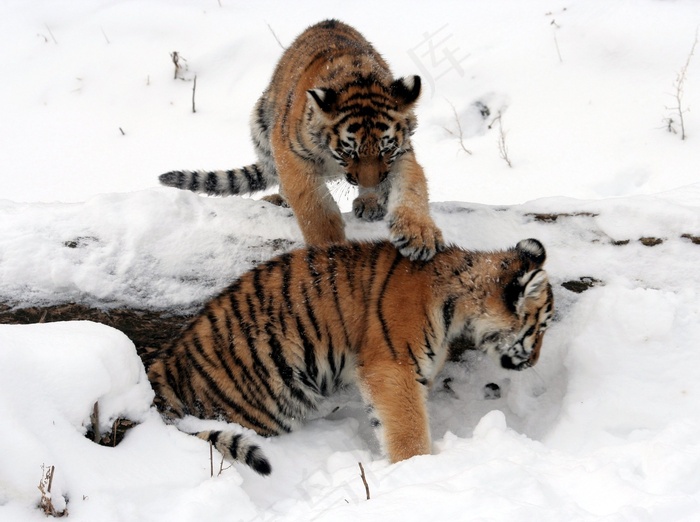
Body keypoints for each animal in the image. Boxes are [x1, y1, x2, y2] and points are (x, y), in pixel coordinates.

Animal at [140, 238, 554, 476]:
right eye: (539, 328)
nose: (535, 362)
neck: (457, 299)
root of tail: (163, 369)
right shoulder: (393, 366)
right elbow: (407, 425)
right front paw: (417, 468)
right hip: (264, 405)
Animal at [158, 19, 444, 261]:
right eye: (349, 153)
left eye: (386, 151)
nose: (372, 184)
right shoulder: (291, 154)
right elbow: (314, 207)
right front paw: (328, 246)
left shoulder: (402, 153)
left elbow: (412, 188)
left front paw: (419, 236)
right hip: (260, 125)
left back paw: (370, 202)